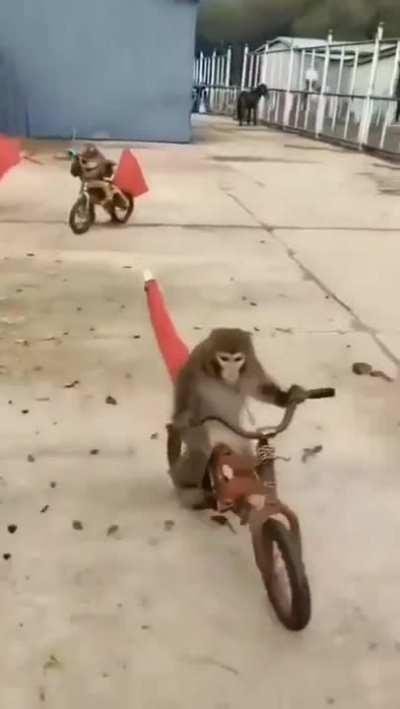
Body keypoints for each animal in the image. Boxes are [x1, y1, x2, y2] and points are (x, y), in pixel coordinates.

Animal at [169, 328, 306, 508]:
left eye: (238, 359)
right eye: (224, 358)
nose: (231, 372)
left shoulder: (252, 367)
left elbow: (261, 389)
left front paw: (288, 397)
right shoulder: (194, 368)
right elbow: (183, 408)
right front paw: (183, 418)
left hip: (235, 437)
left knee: (243, 455)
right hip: (202, 431)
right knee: (200, 452)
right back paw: (188, 489)